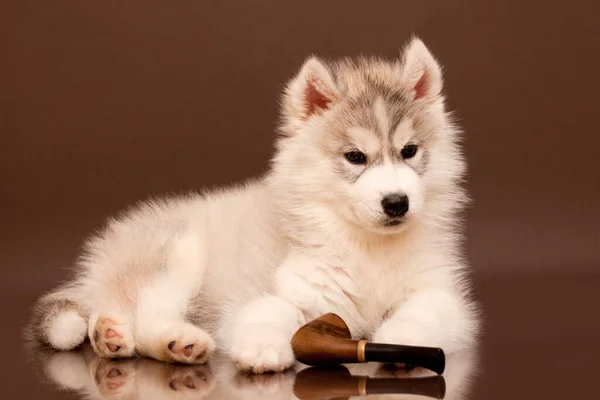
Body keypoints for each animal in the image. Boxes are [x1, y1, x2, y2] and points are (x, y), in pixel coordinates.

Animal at [28, 36, 480, 374]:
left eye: (409, 151)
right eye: (355, 157)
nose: (396, 203)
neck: (365, 246)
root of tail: (99, 258)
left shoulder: (441, 293)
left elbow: (425, 310)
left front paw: (400, 338)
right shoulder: (286, 289)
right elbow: (268, 310)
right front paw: (263, 348)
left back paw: (111, 336)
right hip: (179, 249)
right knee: (147, 313)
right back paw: (172, 341)